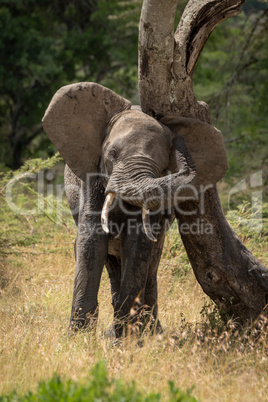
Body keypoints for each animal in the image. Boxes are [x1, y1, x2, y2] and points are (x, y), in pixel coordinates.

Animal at [43, 81, 227, 336]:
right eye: (112, 154)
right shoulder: (92, 177)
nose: (178, 141)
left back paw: (150, 332)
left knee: (151, 263)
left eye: (163, 167)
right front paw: (79, 338)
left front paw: (123, 339)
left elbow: (138, 245)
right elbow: (91, 241)